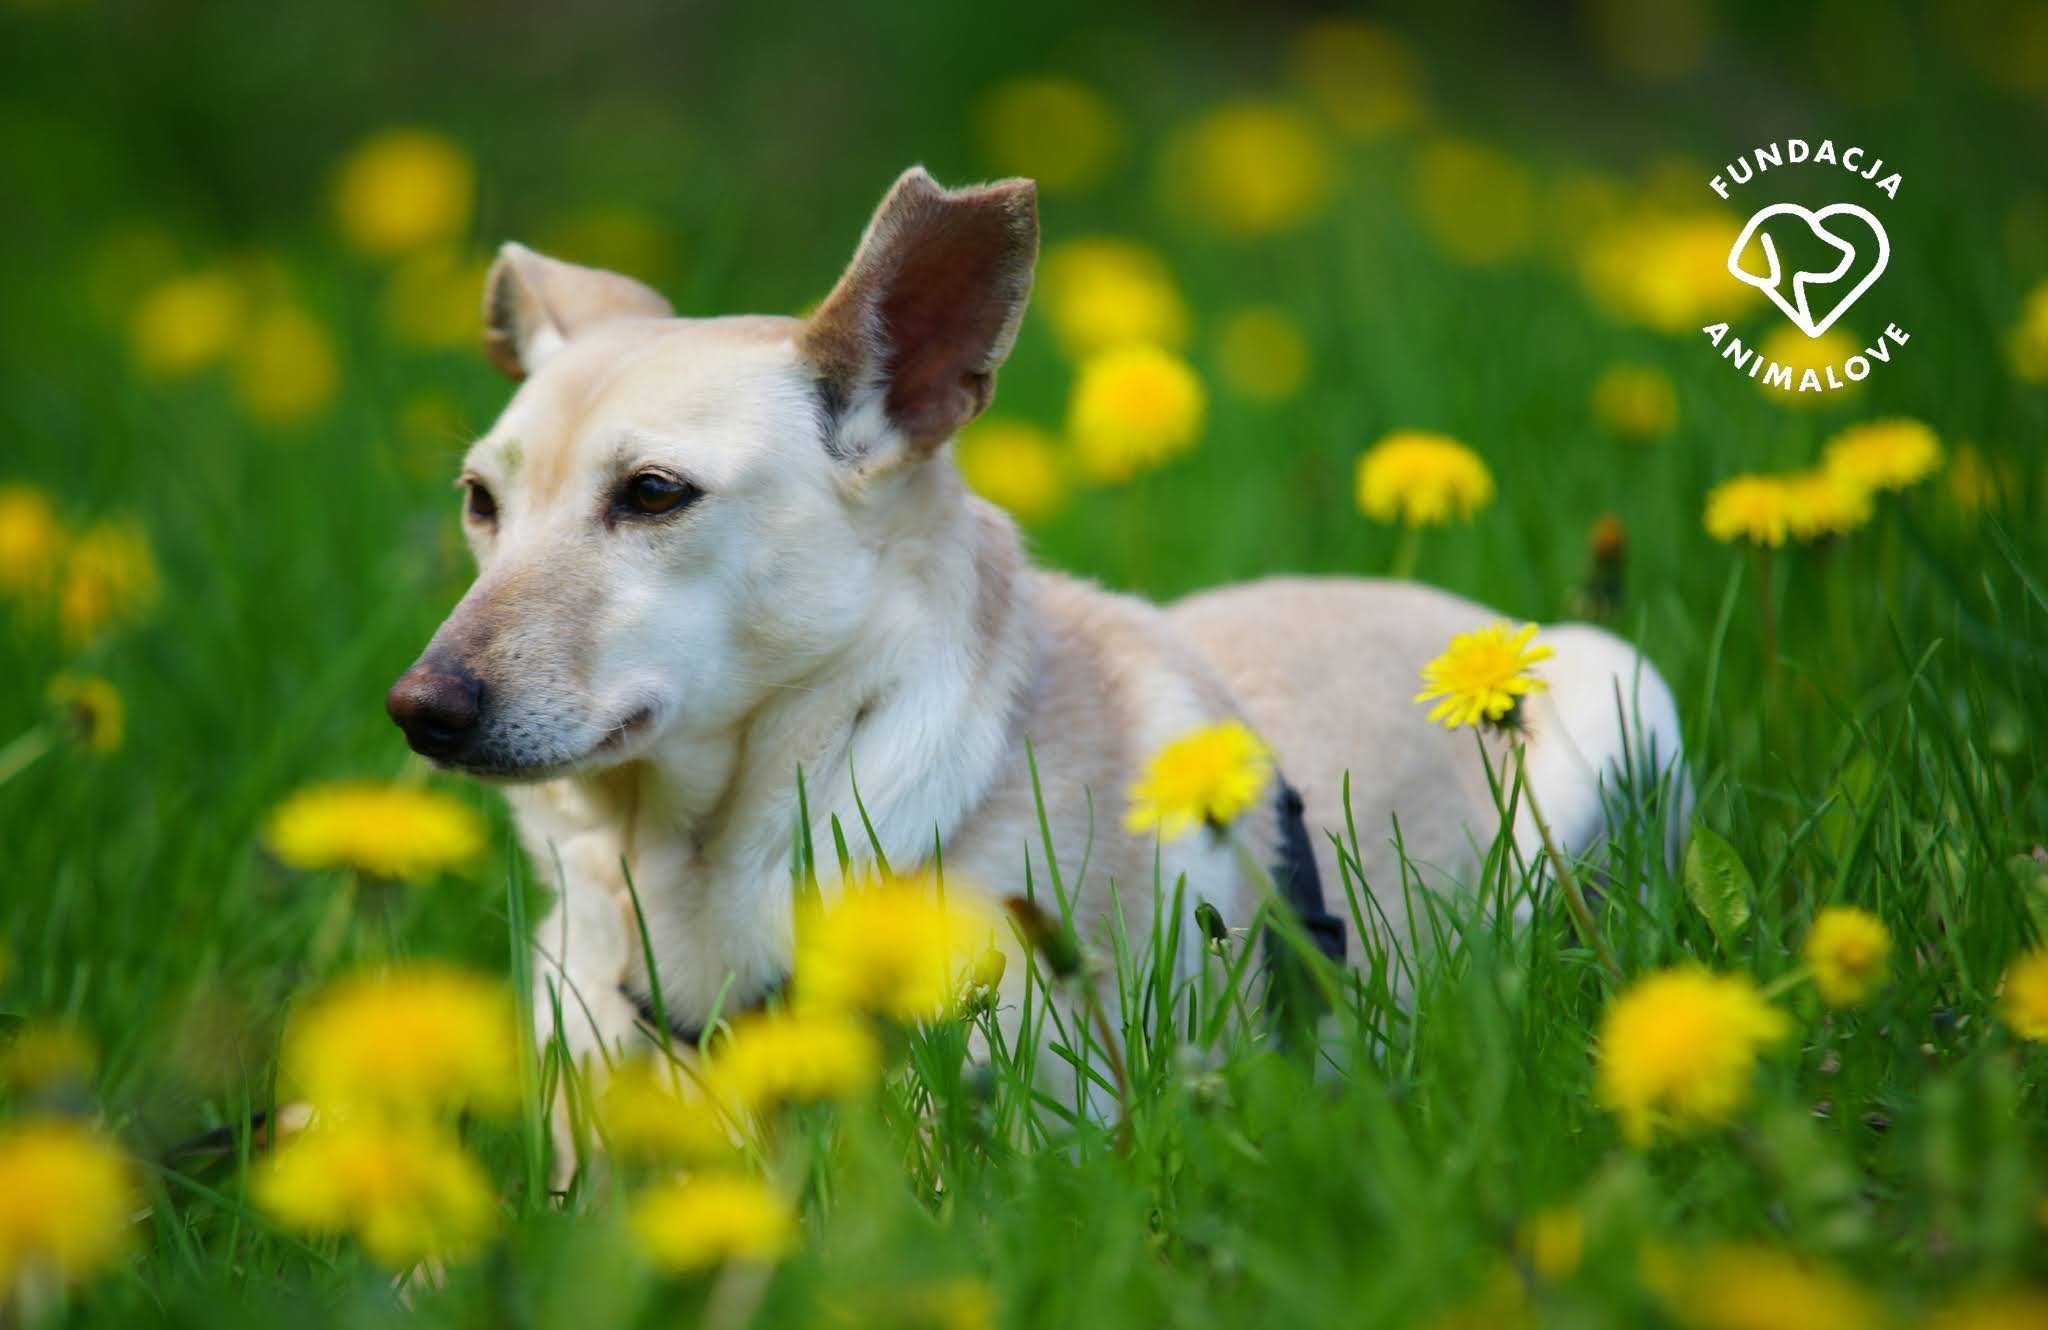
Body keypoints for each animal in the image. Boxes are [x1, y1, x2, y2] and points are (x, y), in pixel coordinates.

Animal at [385, 165, 1679, 1082]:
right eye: (480, 501)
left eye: (653, 494)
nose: (419, 710)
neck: (687, 861)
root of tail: (1466, 626)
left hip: (1627, 703)